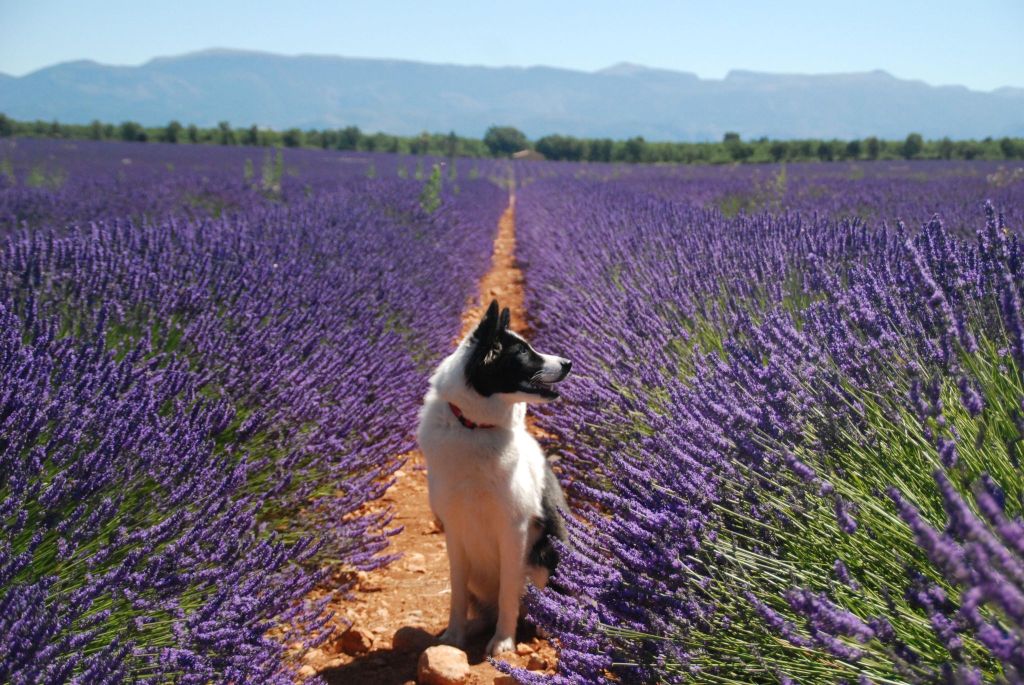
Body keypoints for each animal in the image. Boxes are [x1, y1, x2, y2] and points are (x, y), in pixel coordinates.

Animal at [416, 299, 571, 656]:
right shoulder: (453, 528)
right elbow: (457, 594)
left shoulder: (513, 529)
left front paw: (503, 642)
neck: (473, 428)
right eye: (524, 352)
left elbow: (507, 595)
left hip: (544, 558)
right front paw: (454, 637)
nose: (568, 363)